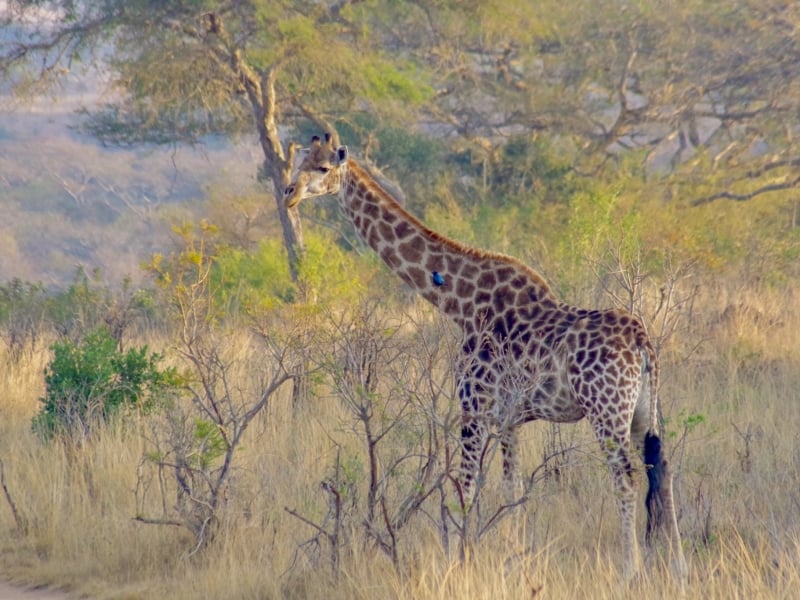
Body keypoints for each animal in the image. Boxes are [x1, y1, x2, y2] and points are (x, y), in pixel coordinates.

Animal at [282, 134, 688, 580]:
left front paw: (458, 565)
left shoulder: (473, 409)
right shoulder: (509, 419)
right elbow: (513, 489)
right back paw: (678, 566)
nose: (288, 193)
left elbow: (465, 487)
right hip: (643, 411)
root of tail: (642, 342)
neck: (461, 304)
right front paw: (515, 561)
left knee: (626, 478)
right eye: (301, 160)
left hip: (606, 410)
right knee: (662, 469)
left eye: (322, 168)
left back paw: (630, 570)